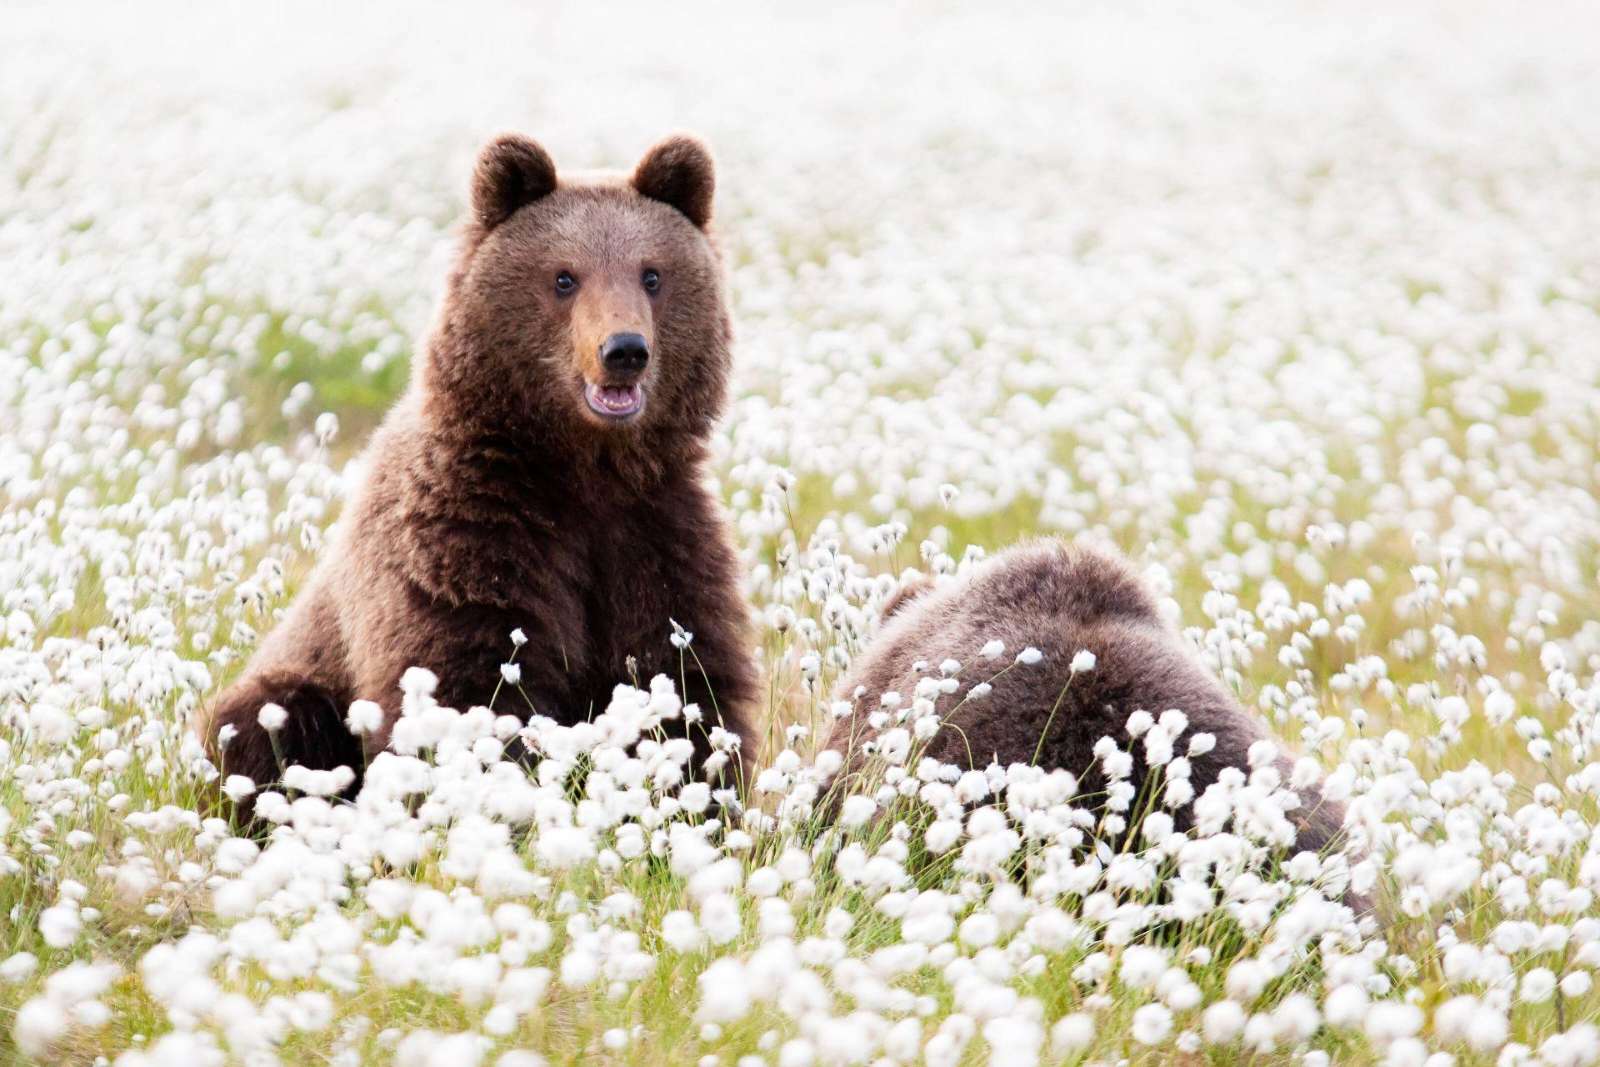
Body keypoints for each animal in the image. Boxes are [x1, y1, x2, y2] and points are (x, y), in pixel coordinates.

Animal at [202, 132, 759, 802]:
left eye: (653, 274)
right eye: (564, 277)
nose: (624, 350)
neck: (582, 469)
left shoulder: (654, 536)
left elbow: (682, 678)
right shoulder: (463, 536)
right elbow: (471, 684)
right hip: (297, 682)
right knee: (273, 724)